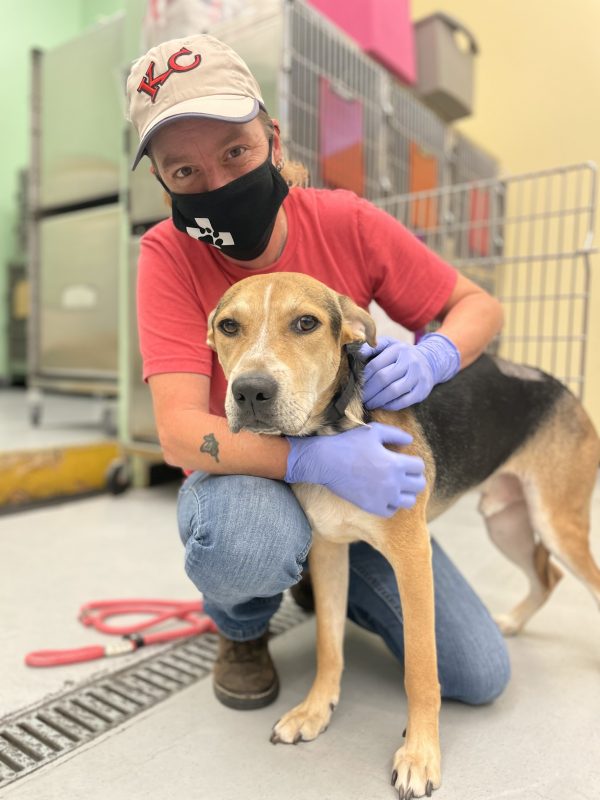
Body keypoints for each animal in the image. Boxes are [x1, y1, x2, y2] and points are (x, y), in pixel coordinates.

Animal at [207, 272, 600, 796]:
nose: (250, 392)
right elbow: (328, 647)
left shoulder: (413, 558)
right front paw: (315, 710)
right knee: (547, 576)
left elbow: (421, 670)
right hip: (506, 522)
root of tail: (560, 385)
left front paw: (420, 754)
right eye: (229, 326)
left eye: (306, 323)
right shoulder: (329, 551)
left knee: (578, 576)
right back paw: (514, 622)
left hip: (556, 522)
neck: (332, 433)